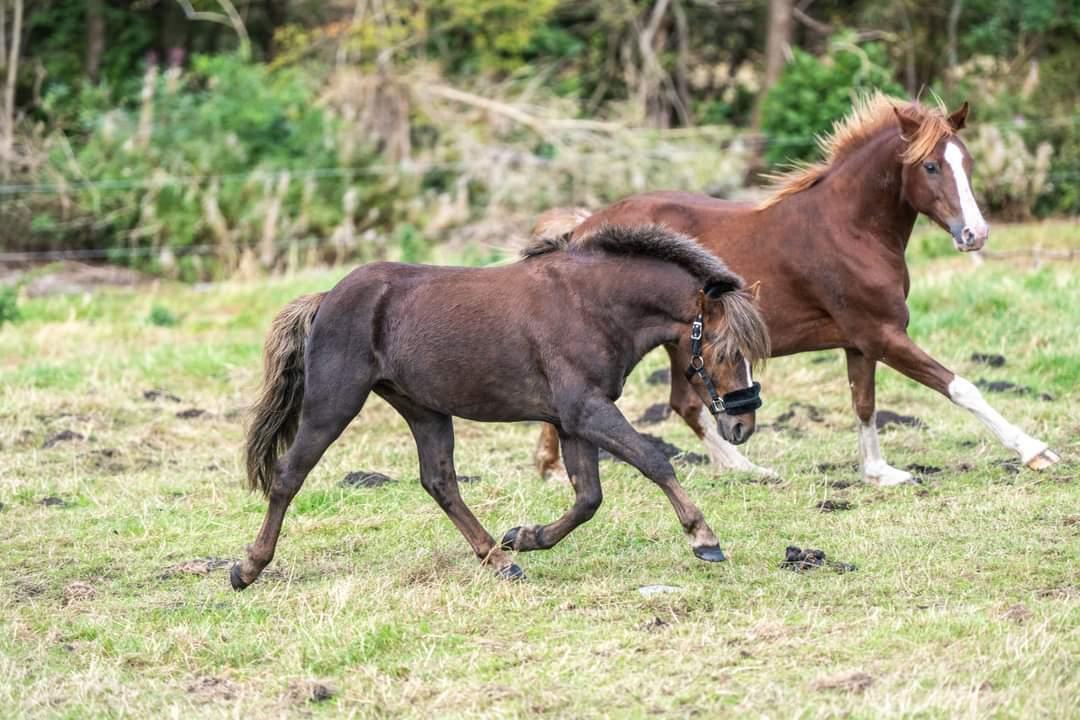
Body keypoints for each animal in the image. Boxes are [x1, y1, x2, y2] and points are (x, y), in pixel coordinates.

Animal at [230, 226, 768, 591]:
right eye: (724, 351)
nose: (742, 424)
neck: (590, 305)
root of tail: (327, 298)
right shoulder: (586, 412)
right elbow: (653, 461)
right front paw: (704, 539)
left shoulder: (572, 422)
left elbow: (588, 498)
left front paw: (523, 537)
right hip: (334, 404)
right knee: (289, 474)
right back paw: (248, 567)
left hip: (425, 410)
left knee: (440, 482)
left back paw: (500, 558)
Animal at [535, 90, 1058, 483]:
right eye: (930, 166)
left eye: (966, 163)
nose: (976, 234)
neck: (850, 229)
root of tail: (582, 229)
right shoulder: (883, 334)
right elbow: (962, 387)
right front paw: (1036, 451)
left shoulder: (860, 342)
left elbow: (864, 402)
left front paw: (879, 472)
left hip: (683, 342)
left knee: (682, 403)